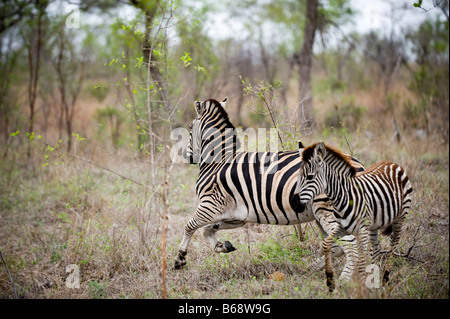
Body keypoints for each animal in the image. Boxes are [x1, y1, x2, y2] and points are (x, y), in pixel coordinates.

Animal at [173, 98, 366, 278]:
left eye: (190, 128)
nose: (188, 157)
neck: (217, 162)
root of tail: (358, 165)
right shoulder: (236, 216)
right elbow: (207, 230)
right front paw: (223, 246)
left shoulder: (209, 205)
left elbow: (189, 226)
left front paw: (180, 259)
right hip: (322, 214)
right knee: (336, 246)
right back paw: (309, 270)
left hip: (328, 212)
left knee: (349, 245)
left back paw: (343, 281)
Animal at [294, 142, 414, 292]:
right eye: (298, 177)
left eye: (310, 177)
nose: (295, 205)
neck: (343, 197)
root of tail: (392, 163)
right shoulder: (341, 227)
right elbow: (327, 243)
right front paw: (330, 280)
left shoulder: (361, 230)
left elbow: (361, 259)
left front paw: (362, 288)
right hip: (374, 225)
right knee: (376, 249)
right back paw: (374, 278)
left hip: (400, 218)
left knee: (393, 243)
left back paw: (385, 278)